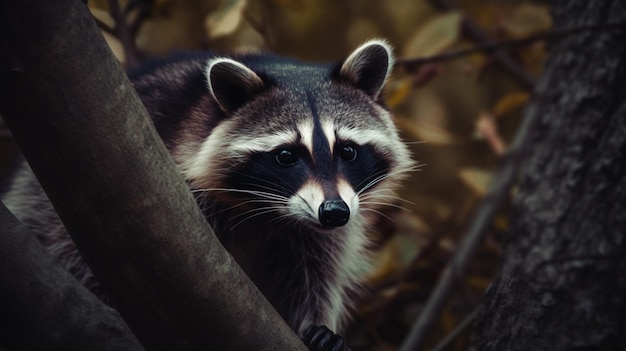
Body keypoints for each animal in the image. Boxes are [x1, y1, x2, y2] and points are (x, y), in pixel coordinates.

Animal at [4, 40, 416, 350]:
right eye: (286, 156)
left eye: (347, 151)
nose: (333, 212)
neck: (272, 211)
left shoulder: (325, 224)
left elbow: (314, 274)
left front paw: (312, 324)